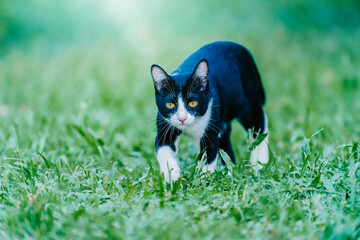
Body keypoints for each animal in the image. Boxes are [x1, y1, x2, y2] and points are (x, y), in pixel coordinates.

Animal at [150, 40, 268, 182]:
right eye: (170, 104)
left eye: (193, 103)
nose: (182, 118)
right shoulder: (165, 125)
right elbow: (163, 147)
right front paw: (171, 173)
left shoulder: (210, 126)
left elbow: (208, 154)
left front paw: (201, 180)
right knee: (224, 136)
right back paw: (228, 171)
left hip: (247, 101)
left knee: (260, 123)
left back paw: (259, 162)